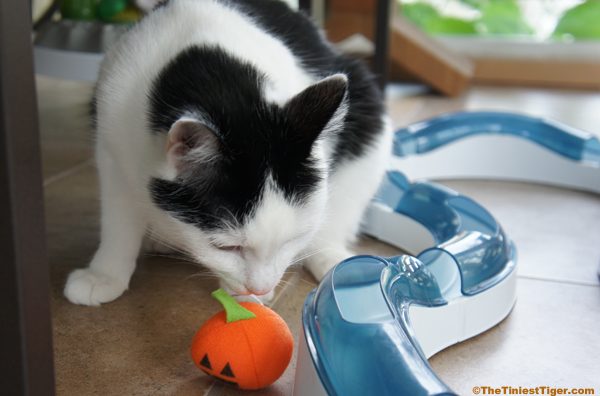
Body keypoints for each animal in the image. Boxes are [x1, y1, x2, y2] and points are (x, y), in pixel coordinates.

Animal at [64, 0, 394, 306]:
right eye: (225, 247)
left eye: (293, 239)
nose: (259, 288)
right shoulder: (110, 138)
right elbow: (118, 219)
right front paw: (104, 274)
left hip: (366, 106)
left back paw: (337, 262)